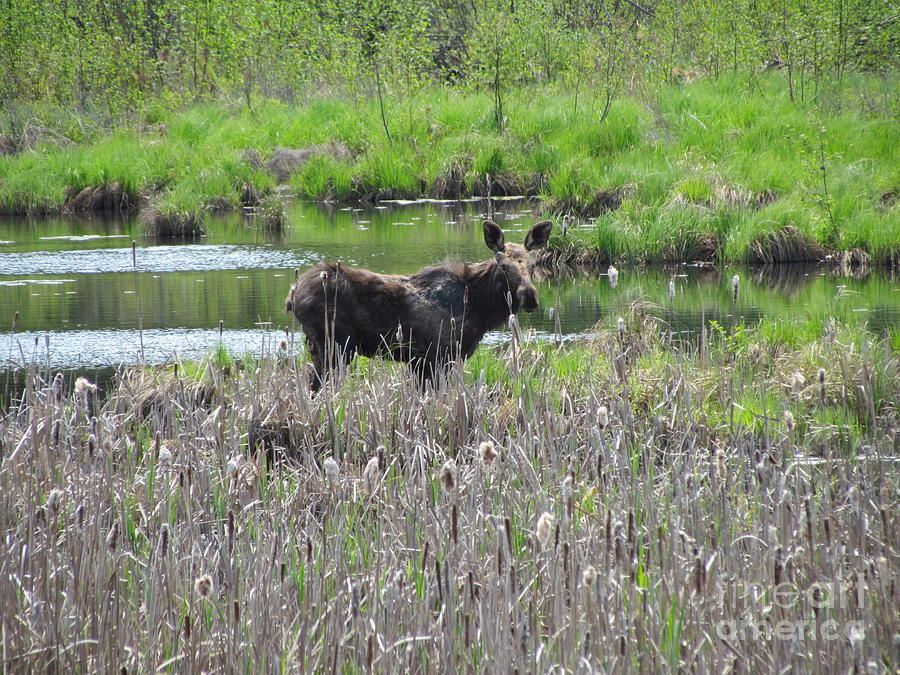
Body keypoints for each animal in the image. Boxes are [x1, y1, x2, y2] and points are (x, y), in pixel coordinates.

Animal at [286, 222, 556, 390]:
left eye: (533, 265)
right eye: (503, 266)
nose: (530, 297)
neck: (480, 309)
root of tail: (293, 293)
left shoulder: (424, 361)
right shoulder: (436, 356)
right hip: (334, 346)